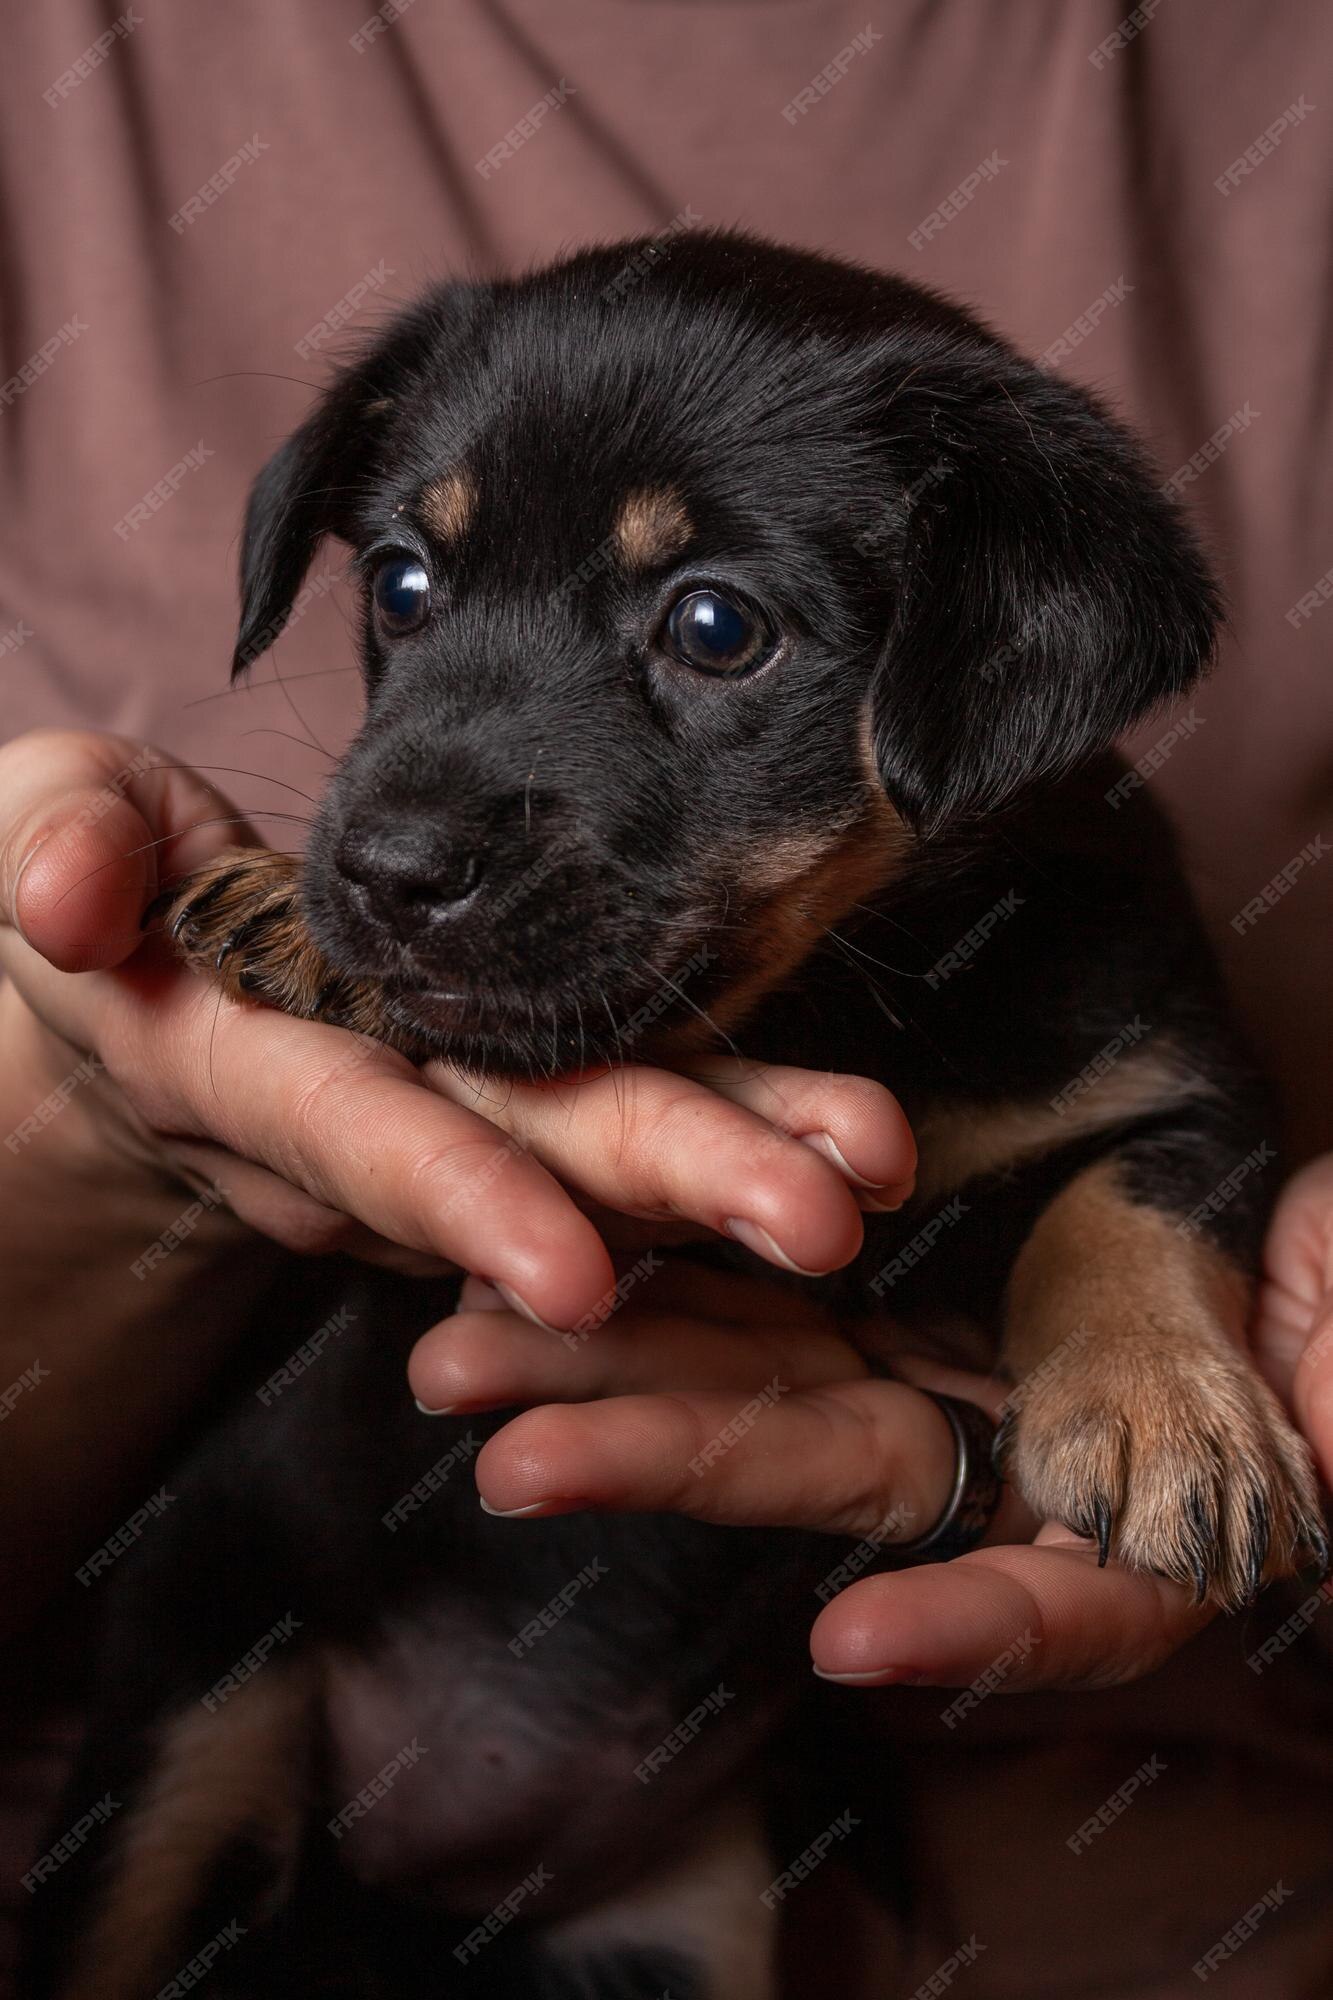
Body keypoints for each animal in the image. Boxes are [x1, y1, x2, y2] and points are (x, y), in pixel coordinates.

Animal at [26, 234, 1320, 2000]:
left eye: (715, 626)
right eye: (399, 586)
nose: (387, 872)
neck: (853, 996)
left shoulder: (1190, 1079)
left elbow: (1127, 1203)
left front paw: (1161, 1411)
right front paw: (289, 914)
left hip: (681, 1934)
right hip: (186, 1724)